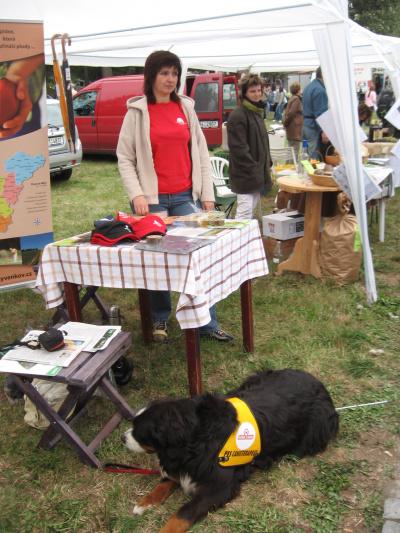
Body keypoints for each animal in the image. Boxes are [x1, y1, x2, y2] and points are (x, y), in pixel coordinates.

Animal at [121, 368, 338, 528]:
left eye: (139, 432)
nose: (122, 437)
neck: (197, 436)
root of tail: (317, 382)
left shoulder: (218, 488)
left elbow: (182, 514)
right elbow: (165, 483)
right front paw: (145, 503)